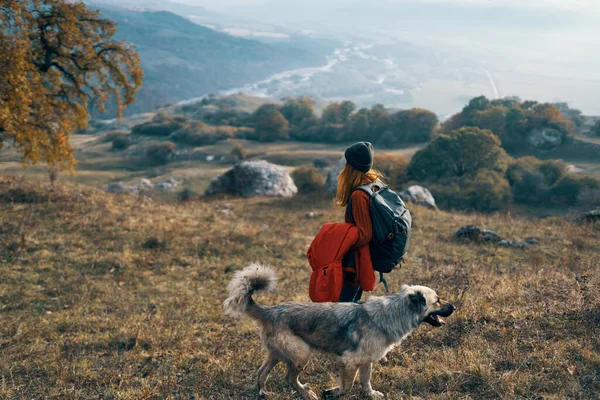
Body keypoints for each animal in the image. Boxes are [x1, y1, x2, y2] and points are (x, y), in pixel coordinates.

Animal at [224, 264, 454, 398]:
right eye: (437, 301)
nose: (454, 307)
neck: (393, 313)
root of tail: (270, 310)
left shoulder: (366, 361)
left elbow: (365, 381)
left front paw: (370, 394)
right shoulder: (349, 361)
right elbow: (348, 385)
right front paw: (333, 392)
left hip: (278, 354)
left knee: (261, 372)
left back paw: (263, 392)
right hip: (301, 354)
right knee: (289, 378)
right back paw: (307, 394)